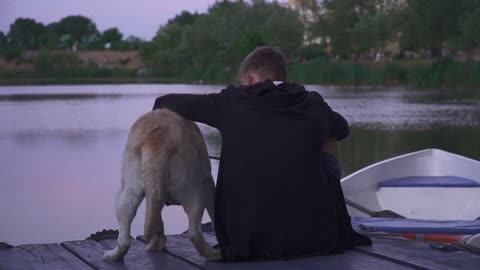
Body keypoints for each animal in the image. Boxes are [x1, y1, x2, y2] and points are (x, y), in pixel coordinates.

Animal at [102, 109, 221, 262]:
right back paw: (214, 254)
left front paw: (157, 243)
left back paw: (115, 255)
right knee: (194, 232)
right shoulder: (208, 181)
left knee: (125, 234)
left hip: (126, 192)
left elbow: (157, 220)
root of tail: (156, 139)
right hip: (195, 191)